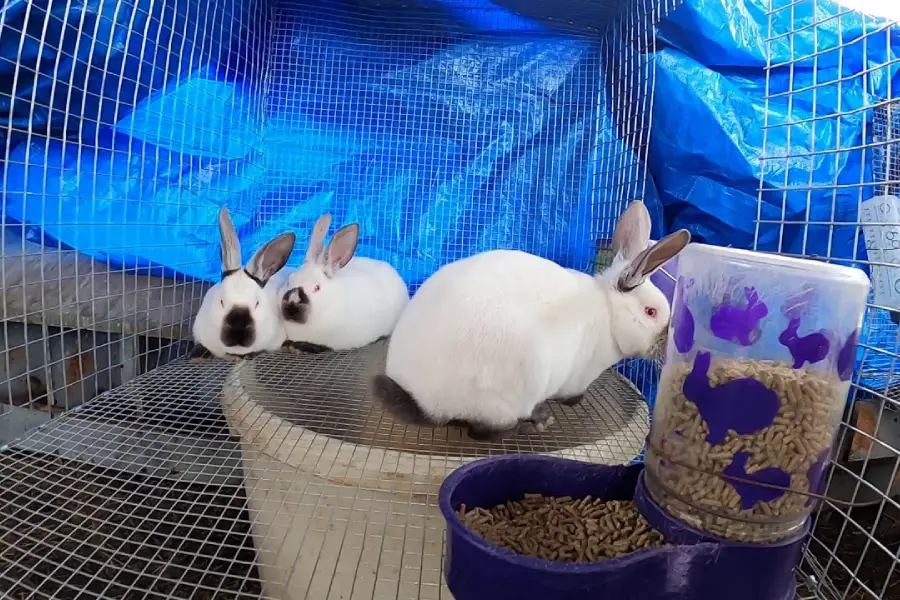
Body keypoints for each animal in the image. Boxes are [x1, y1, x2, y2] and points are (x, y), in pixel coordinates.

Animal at [372, 202, 688, 440]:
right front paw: (575, 402)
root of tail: (426, 402)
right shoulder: (578, 377)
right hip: (512, 391)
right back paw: (538, 421)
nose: (666, 345)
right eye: (651, 312)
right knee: (484, 431)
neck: (608, 314)